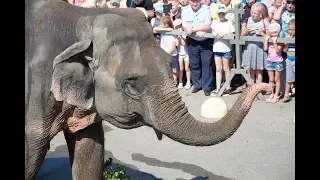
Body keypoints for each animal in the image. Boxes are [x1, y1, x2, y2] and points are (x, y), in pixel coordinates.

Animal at [25, 0, 272, 179]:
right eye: (131, 84)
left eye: (169, 62)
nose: (266, 88)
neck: (81, 19)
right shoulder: (35, 92)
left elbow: (90, 151)